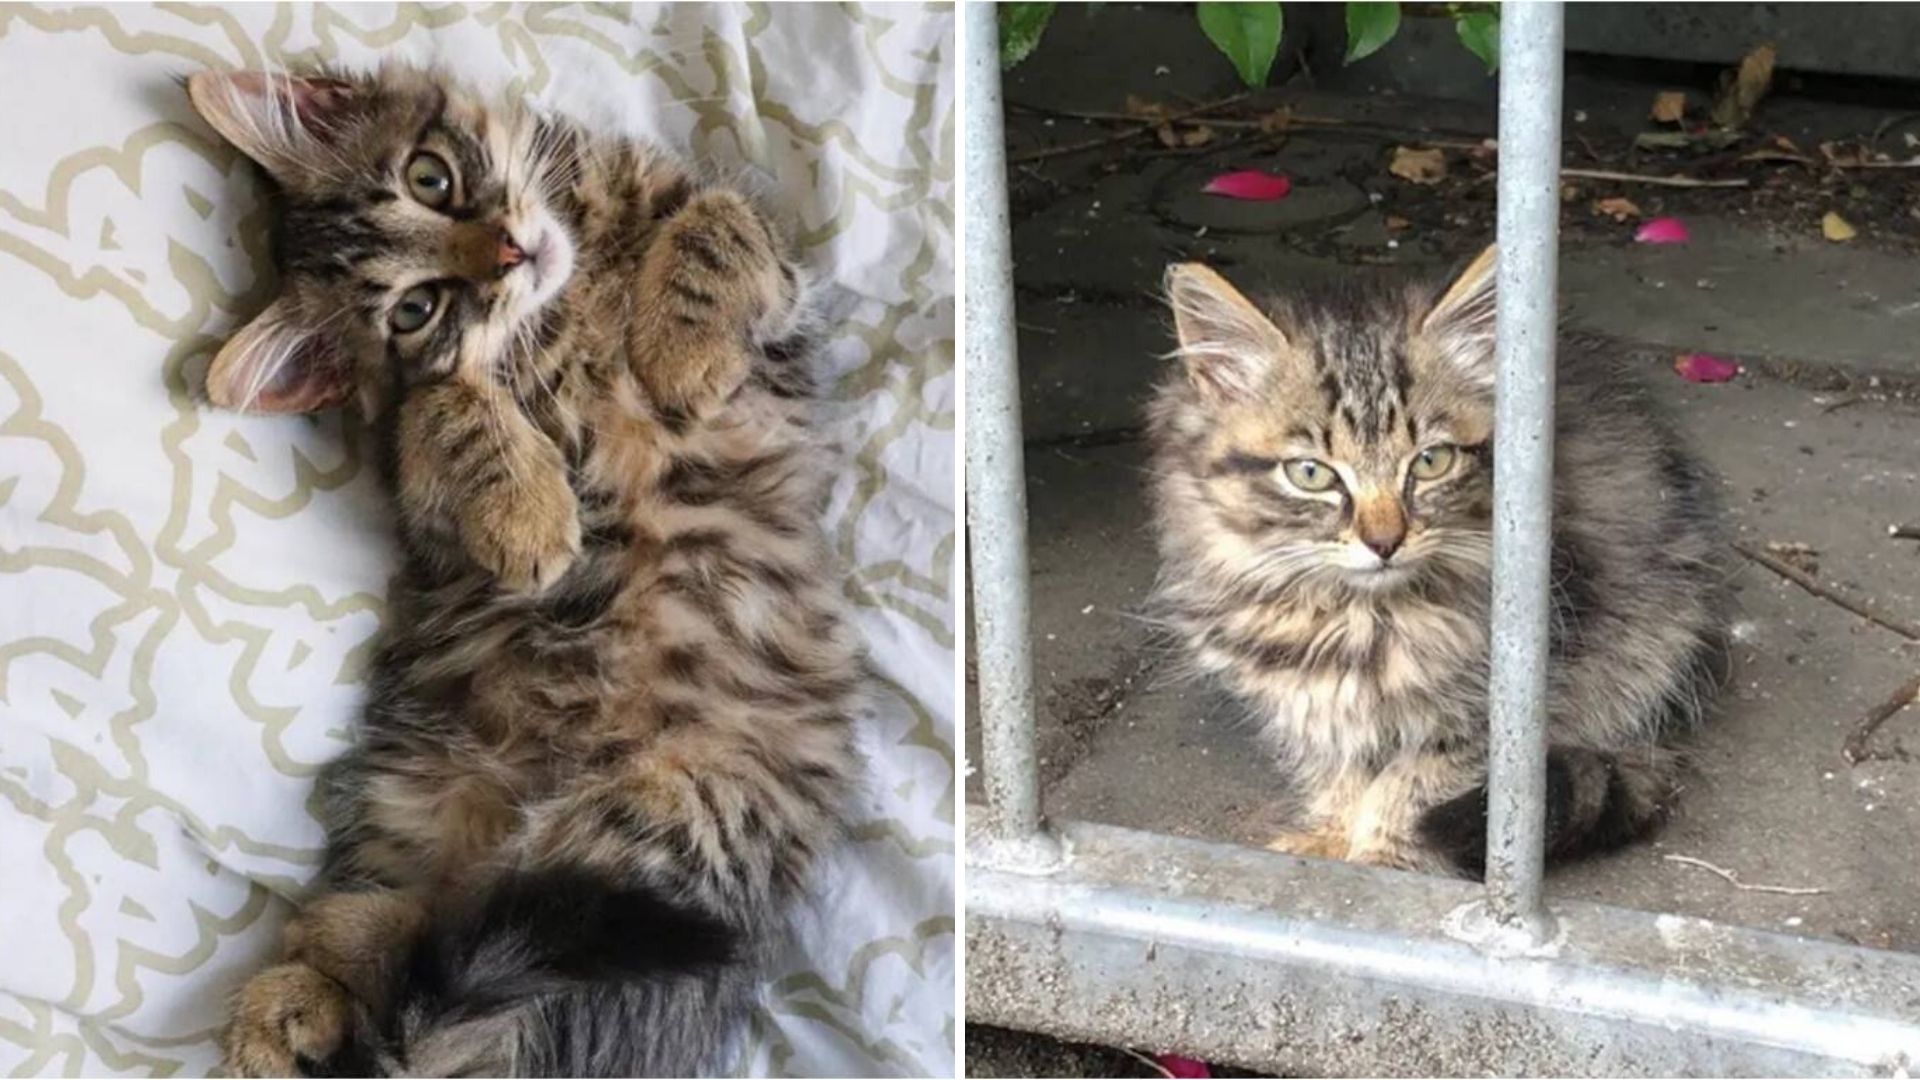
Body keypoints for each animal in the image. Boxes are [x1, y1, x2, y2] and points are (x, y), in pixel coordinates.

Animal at [189, 67, 864, 1076]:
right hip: (428, 811)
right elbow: (438, 404)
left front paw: (679, 352)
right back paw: (289, 1007)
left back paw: (305, 989)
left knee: (455, 955)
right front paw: (532, 512)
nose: (510, 251)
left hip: (672, 816)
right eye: (416, 309)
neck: (571, 291)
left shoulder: (781, 310)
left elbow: (718, 220)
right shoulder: (425, 511)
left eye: (430, 179)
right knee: (426, 955)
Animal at [1136, 249, 1728, 876]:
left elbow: (1412, 783)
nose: (1384, 541)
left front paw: (1382, 857)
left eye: (1431, 461)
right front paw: (1333, 840)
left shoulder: (1512, 690)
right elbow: (1338, 768)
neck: (1356, 619)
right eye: (1311, 473)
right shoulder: (1304, 698)